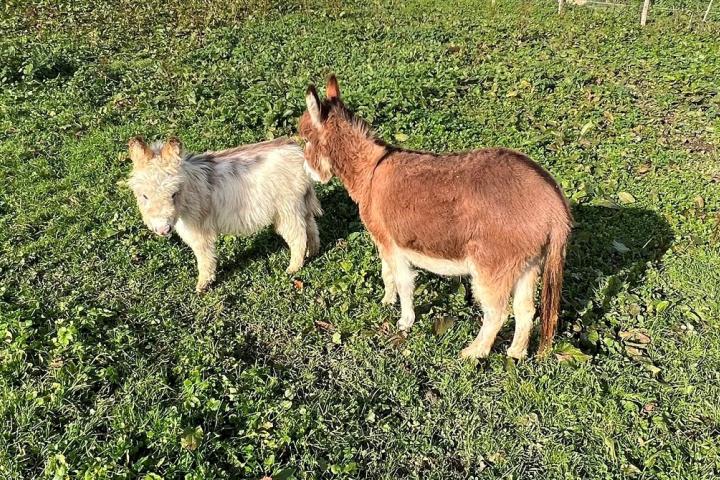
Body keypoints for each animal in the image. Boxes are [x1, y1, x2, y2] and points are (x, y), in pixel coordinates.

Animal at [127, 136, 320, 292]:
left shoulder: (199, 232)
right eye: (144, 196)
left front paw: (202, 285)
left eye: (174, 194)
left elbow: (204, 258)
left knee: (298, 237)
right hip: (300, 205)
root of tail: (296, 151)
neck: (189, 189)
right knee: (311, 228)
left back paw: (293, 268)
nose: (163, 229)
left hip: (287, 210)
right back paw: (312, 253)